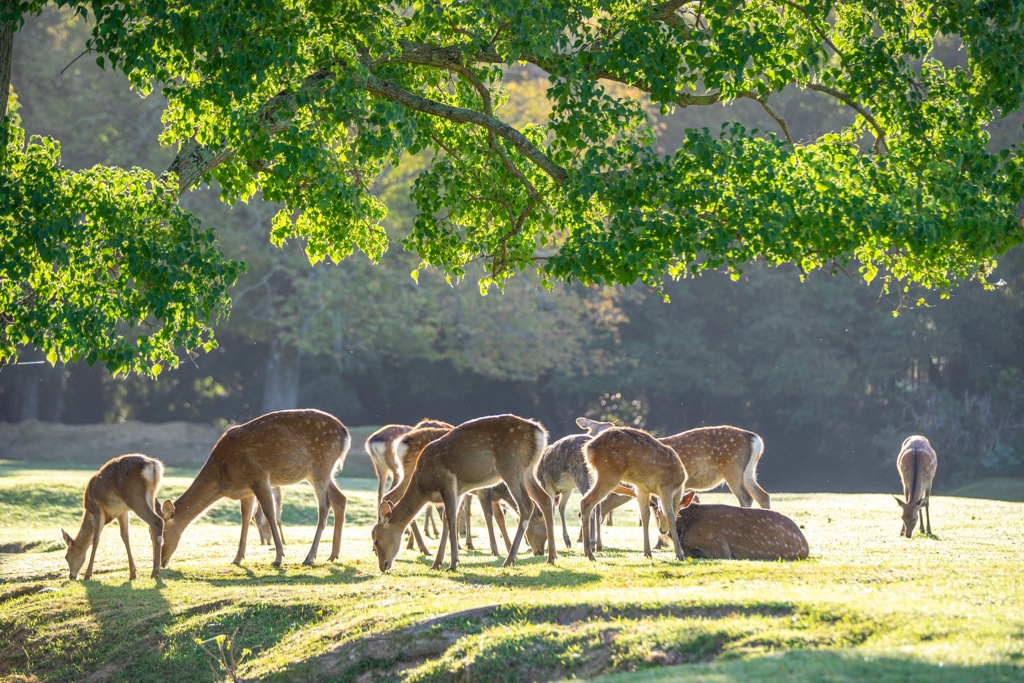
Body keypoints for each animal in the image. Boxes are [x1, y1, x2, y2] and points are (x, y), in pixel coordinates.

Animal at [159, 409, 350, 569]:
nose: (161, 561)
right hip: (318, 472)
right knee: (340, 499)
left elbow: (269, 513)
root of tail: (345, 433)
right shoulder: (246, 489)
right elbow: (246, 517)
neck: (223, 477)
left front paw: (278, 557)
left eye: (162, 532)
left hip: (321, 464)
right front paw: (237, 558)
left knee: (324, 506)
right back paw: (333, 555)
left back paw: (310, 557)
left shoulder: (259, 476)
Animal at [372, 413, 557, 573]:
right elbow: (449, 519)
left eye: (375, 539)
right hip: (527, 470)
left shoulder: (448, 482)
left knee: (527, 505)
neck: (423, 485)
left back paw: (509, 560)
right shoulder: (459, 490)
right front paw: (437, 563)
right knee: (545, 500)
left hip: (511, 465)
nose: (382, 566)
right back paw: (551, 557)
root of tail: (539, 433)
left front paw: (453, 562)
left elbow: (451, 518)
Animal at [577, 417, 770, 507]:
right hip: (748, 472)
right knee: (763, 495)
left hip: (732, 467)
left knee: (746, 497)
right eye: (591, 430)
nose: (591, 445)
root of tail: (756, 439)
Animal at [577, 428, 688, 561]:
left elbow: (645, 515)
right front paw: (680, 554)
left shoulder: (642, 488)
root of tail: (588, 448)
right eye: (658, 514)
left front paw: (647, 552)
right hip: (610, 471)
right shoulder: (665, 487)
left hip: (598, 472)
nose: (662, 530)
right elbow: (670, 515)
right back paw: (590, 553)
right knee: (586, 501)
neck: (679, 485)